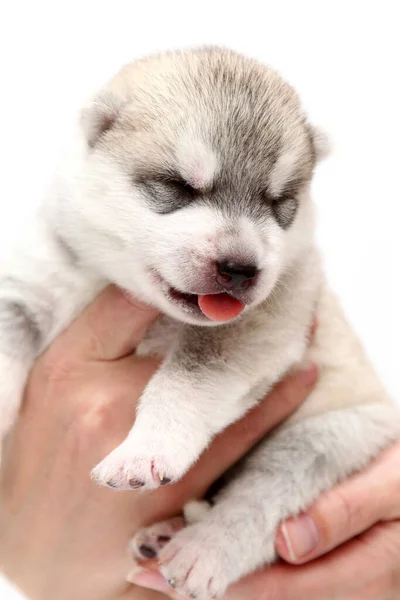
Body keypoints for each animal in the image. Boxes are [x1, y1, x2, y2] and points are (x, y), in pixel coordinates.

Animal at [0, 48, 400, 600]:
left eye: (280, 204)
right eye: (177, 186)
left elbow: (185, 382)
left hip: (330, 437)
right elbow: (10, 333)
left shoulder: (262, 324)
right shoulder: (34, 282)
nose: (241, 269)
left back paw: (201, 549)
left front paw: (145, 451)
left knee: (261, 499)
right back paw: (163, 535)